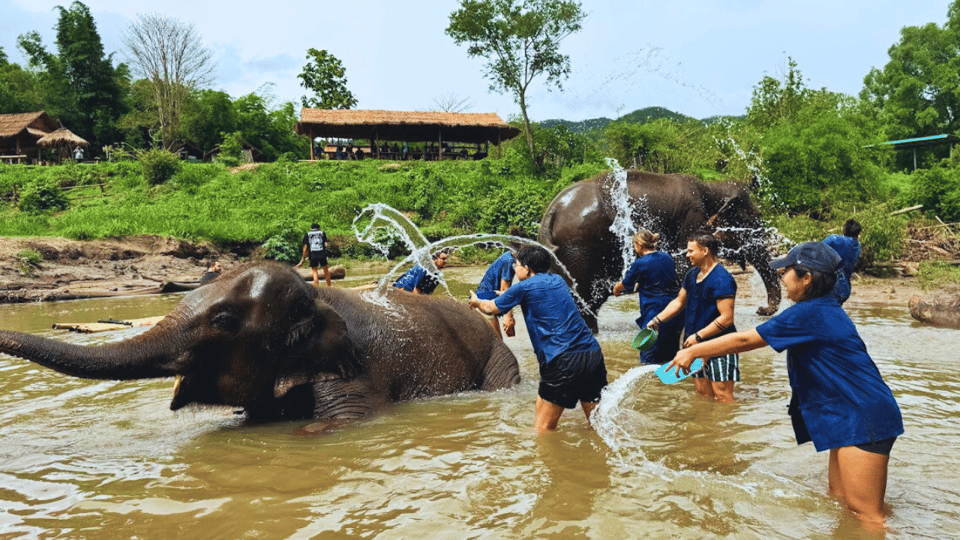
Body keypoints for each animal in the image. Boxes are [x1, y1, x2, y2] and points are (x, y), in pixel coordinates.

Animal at [536, 169, 784, 332]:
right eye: (753, 221)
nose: (760, 310)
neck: (712, 187)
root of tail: (552, 212)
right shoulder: (691, 221)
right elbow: (683, 271)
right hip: (581, 248)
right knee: (586, 297)